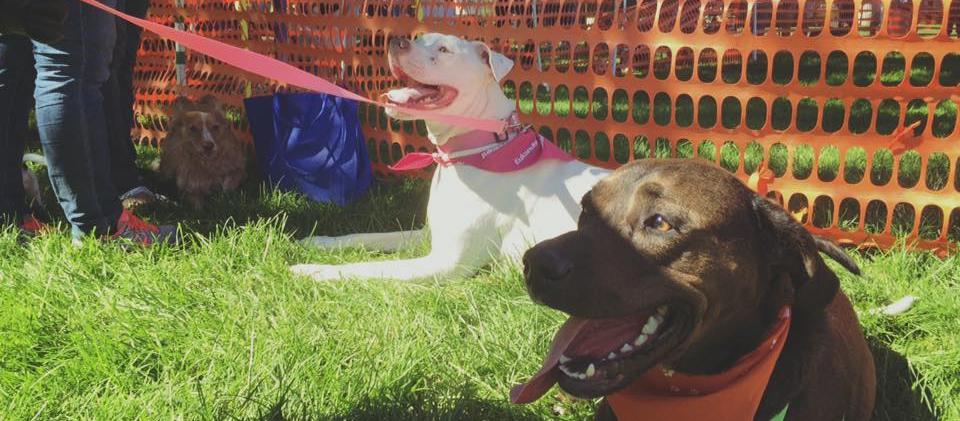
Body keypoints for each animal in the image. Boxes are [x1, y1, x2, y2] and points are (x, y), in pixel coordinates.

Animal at [290, 33, 610, 281]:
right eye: (419, 39)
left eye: (444, 50)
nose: (396, 41)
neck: (480, 151)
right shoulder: (429, 234)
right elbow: (366, 237)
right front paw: (320, 241)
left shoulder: (445, 263)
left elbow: (370, 268)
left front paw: (315, 271)